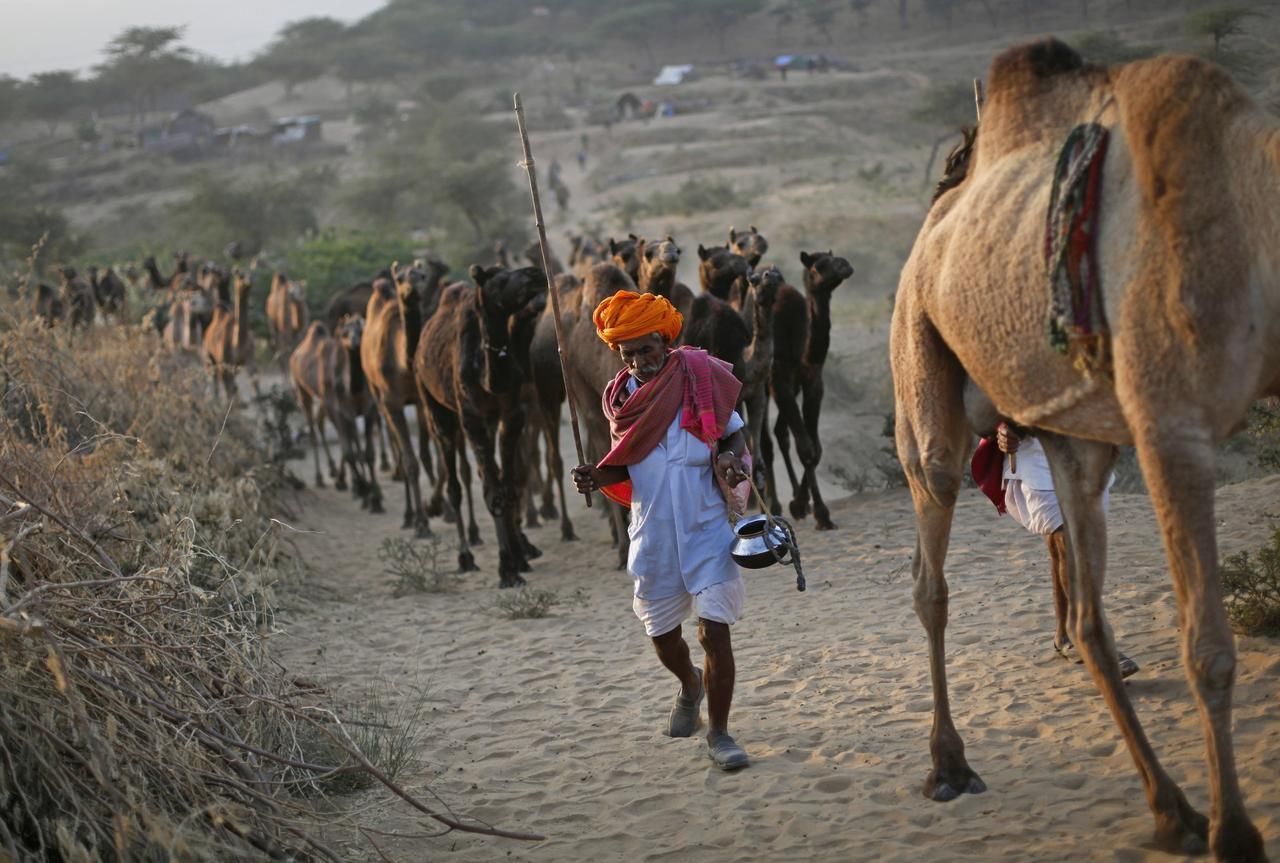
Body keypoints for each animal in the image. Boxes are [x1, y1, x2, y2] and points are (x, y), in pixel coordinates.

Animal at [200, 268, 253, 399]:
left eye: (252, 274)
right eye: (240, 276)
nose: (249, 282)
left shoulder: (249, 359)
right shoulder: (225, 364)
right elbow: (230, 390)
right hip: (211, 361)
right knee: (216, 384)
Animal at [414, 262, 545, 583]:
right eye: (498, 279)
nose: (536, 273)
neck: (488, 376)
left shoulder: (511, 414)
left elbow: (508, 486)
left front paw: (518, 557)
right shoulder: (472, 418)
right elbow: (493, 492)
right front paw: (506, 568)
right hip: (435, 407)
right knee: (454, 485)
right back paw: (465, 556)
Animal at [768, 248, 849, 527]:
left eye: (834, 258)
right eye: (818, 266)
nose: (845, 265)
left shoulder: (813, 381)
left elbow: (816, 447)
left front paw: (805, 505)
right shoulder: (779, 379)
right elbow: (805, 448)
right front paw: (818, 511)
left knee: (780, 432)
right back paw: (773, 503)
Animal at [896, 36, 1274, 855]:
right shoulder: (1172, 425)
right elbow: (1207, 646)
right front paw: (1237, 834)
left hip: (1076, 438)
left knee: (1087, 615)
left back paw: (1171, 809)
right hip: (921, 373)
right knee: (931, 566)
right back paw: (948, 764)